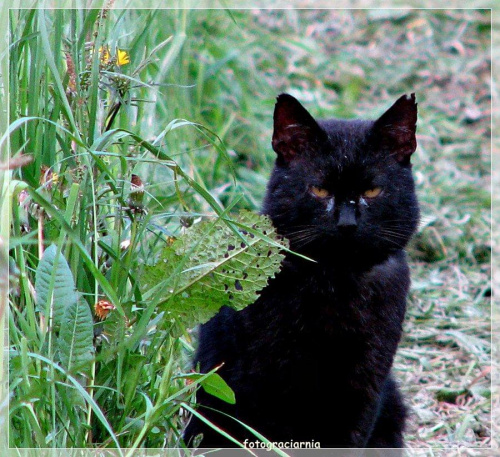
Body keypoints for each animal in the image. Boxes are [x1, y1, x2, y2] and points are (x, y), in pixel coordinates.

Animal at [184, 92, 418, 448]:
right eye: (319, 190)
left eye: (371, 191)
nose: (346, 224)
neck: (337, 283)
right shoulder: (259, 379)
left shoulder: (366, 381)